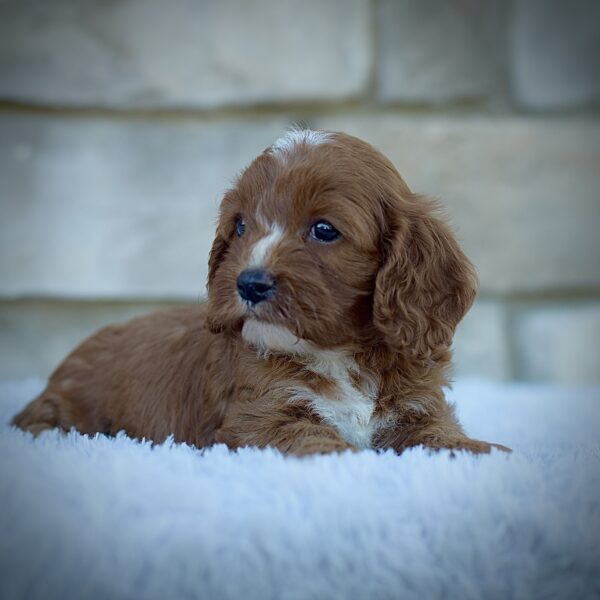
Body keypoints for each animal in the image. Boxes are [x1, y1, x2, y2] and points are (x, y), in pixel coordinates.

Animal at [12, 127, 510, 454]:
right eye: (240, 226)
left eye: (324, 230)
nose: (248, 283)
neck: (340, 355)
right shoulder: (262, 419)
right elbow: (331, 449)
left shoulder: (419, 408)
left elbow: (445, 441)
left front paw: (491, 453)